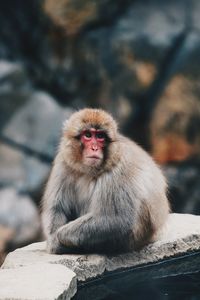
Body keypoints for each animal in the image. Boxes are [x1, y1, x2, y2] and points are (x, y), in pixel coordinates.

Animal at [41, 109, 169, 254]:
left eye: (100, 136)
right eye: (88, 135)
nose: (94, 148)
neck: (89, 170)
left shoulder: (120, 169)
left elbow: (117, 219)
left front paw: (58, 238)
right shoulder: (64, 162)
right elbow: (58, 208)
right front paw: (53, 240)